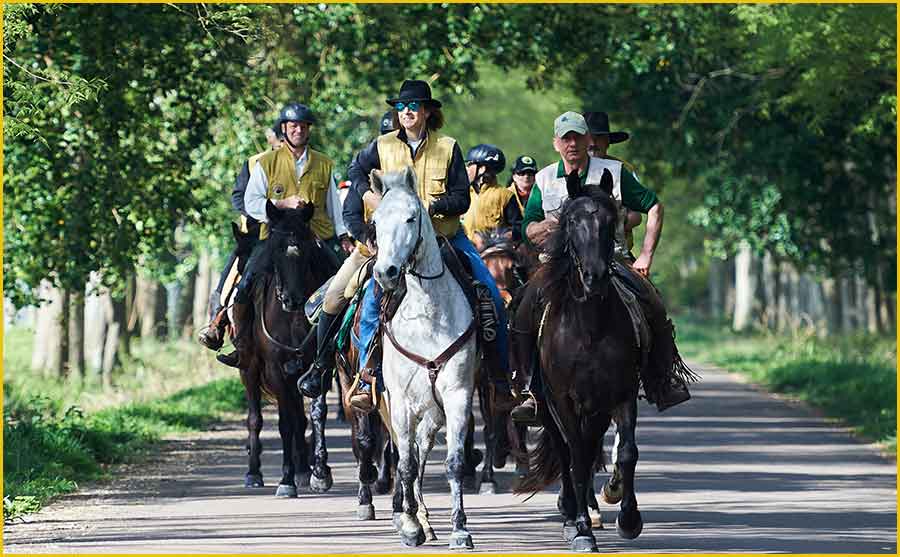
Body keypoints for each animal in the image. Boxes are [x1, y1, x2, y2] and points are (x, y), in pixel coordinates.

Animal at [227, 203, 340, 496]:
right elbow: (285, 423)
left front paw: (320, 472)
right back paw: (254, 473)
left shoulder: (316, 368)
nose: (292, 299)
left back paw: (303, 469)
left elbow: (316, 414)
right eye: (276, 249)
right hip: (249, 370)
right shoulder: (276, 370)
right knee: (255, 418)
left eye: (306, 246)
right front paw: (287, 479)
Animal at [368, 165, 478, 548]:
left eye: (411, 217)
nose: (385, 273)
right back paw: (410, 517)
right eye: (375, 222)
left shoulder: (457, 396)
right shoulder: (400, 402)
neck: (428, 315)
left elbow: (454, 463)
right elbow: (405, 464)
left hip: (432, 415)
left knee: (422, 450)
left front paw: (459, 530)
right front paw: (410, 526)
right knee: (407, 455)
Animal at [510, 169, 644, 552]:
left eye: (611, 219)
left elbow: (626, 451)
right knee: (566, 450)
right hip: (547, 406)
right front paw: (582, 529)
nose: (594, 276)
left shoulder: (617, 395)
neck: (589, 329)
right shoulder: (563, 400)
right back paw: (572, 515)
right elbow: (578, 458)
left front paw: (629, 519)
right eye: (571, 221)